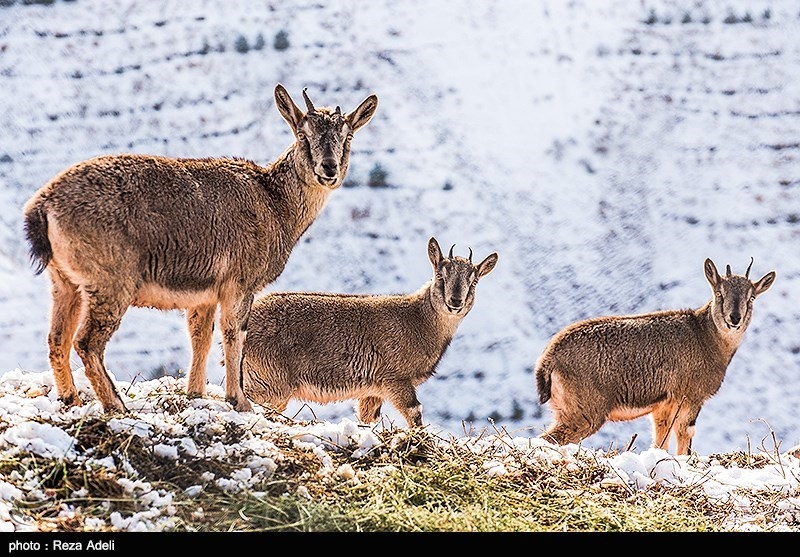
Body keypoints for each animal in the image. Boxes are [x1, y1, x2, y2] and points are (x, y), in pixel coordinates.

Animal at [21, 82, 378, 412]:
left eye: (347, 137)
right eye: (303, 135)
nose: (328, 168)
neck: (274, 204)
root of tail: (43, 206)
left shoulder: (205, 294)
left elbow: (201, 338)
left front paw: (195, 393)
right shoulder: (239, 283)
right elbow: (234, 334)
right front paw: (239, 401)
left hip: (64, 281)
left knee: (57, 338)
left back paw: (71, 399)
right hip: (110, 281)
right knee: (87, 342)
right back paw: (116, 405)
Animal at [241, 237, 496, 428]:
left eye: (473, 282)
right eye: (441, 276)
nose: (455, 302)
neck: (418, 321)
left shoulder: (374, 390)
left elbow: (368, 418)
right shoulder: (396, 379)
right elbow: (414, 412)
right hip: (270, 380)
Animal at [536, 258, 776, 454]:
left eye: (751, 298)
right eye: (719, 294)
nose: (734, 318)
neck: (706, 338)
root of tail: (548, 360)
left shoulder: (663, 405)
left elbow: (661, 440)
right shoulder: (690, 397)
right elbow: (685, 435)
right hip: (585, 412)